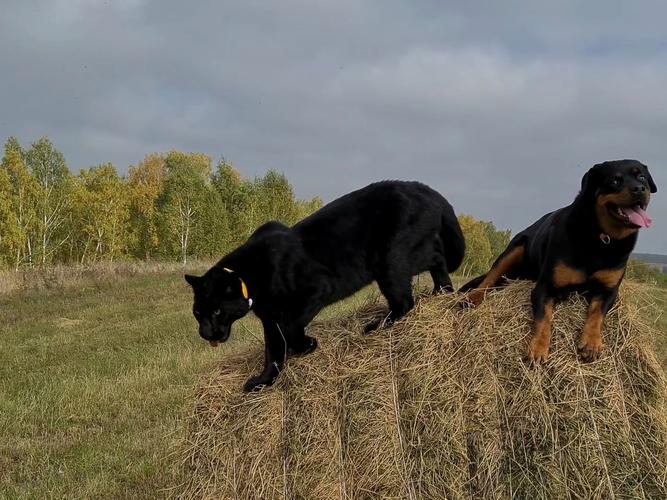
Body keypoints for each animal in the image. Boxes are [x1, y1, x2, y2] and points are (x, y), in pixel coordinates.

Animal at [183, 180, 464, 390]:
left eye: (217, 311)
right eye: (197, 313)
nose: (205, 333)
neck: (251, 275)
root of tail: (427, 190)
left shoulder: (314, 291)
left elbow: (290, 329)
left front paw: (306, 346)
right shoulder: (270, 318)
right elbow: (273, 350)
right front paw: (265, 381)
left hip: (390, 260)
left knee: (405, 300)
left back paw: (377, 325)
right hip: (407, 257)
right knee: (437, 259)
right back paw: (442, 292)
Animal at [462, 160, 656, 364]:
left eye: (641, 177)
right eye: (615, 181)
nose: (639, 188)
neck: (599, 238)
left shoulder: (608, 291)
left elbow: (597, 314)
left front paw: (592, 342)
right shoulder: (545, 288)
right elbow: (544, 319)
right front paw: (538, 347)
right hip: (514, 249)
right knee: (489, 278)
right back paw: (472, 298)